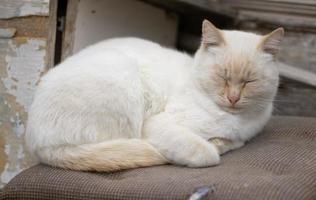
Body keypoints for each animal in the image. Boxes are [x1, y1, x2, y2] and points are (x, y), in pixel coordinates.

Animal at [25, 19, 284, 171]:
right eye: (222, 77)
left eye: (250, 81)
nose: (233, 98)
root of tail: (38, 145)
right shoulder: (159, 124)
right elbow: (208, 153)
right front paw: (213, 146)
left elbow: (231, 142)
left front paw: (222, 141)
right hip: (125, 84)